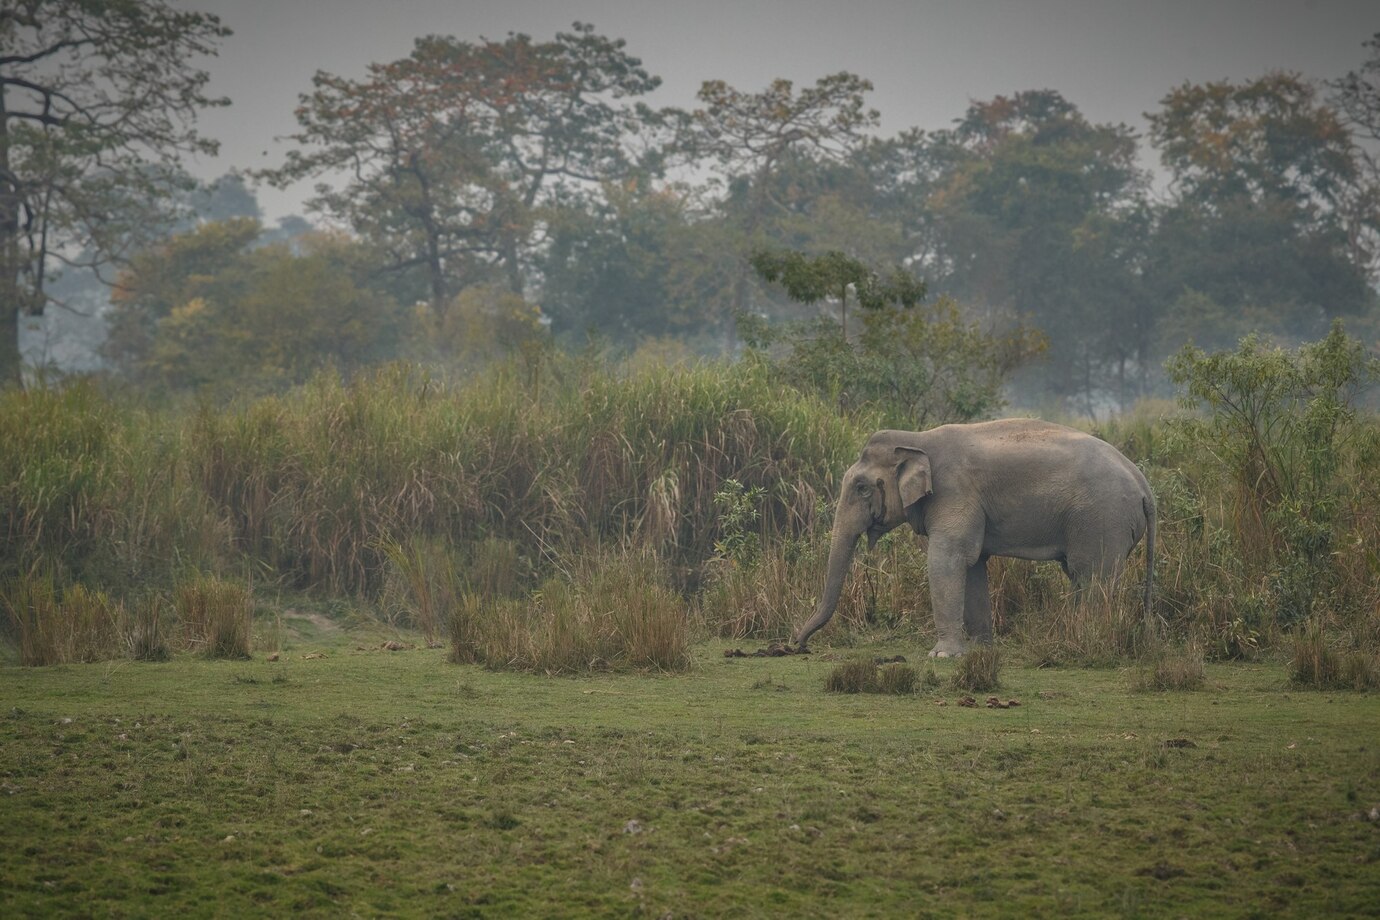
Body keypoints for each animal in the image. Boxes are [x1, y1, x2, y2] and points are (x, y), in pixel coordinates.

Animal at [794, 422, 1159, 659]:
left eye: (861, 488)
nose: (797, 645)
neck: (917, 439)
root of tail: (1144, 485)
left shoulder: (955, 491)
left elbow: (948, 559)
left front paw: (942, 657)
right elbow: (972, 566)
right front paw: (980, 651)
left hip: (1102, 518)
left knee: (1093, 575)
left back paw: (1088, 642)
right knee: (1081, 577)